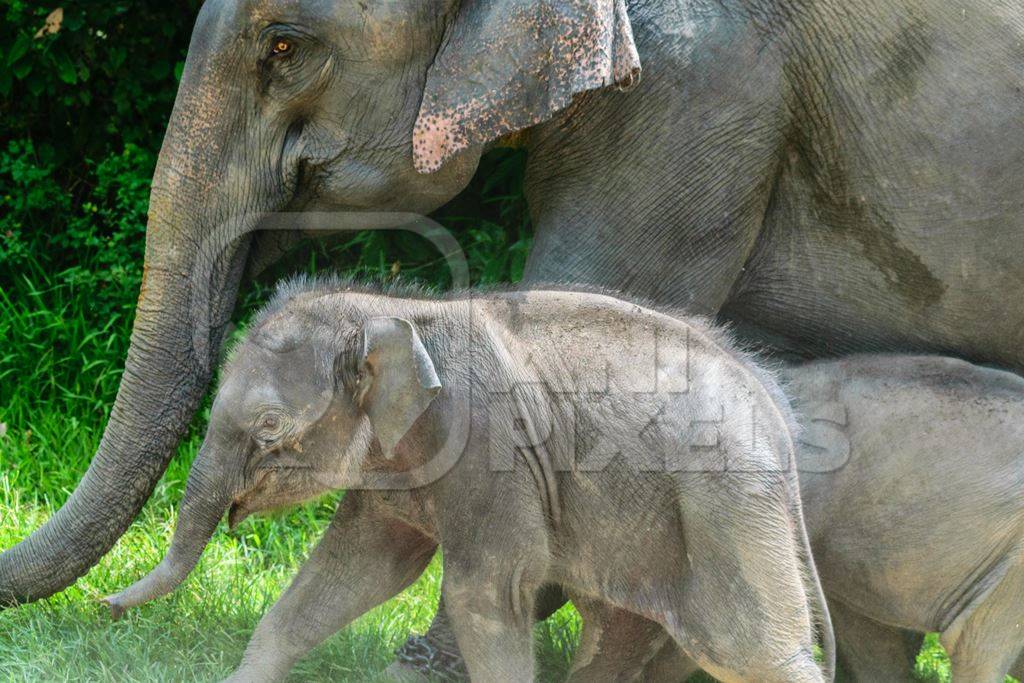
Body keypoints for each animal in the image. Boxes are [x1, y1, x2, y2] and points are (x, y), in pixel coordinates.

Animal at [103, 278, 831, 683]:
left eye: (269, 424)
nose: (103, 604)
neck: (397, 310)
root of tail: (776, 408)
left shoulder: (492, 450)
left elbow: (485, 588)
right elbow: (356, 568)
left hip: (729, 507)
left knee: (751, 650)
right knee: (622, 640)